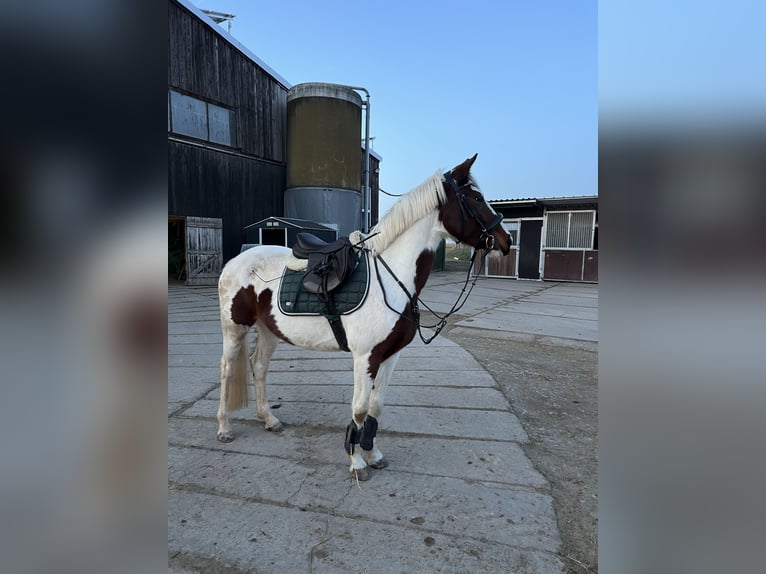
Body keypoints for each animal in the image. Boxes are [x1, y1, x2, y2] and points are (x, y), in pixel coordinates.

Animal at [216, 154, 511, 480]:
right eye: (476, 198)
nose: (506, 240)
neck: (392, 280)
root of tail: (236, 260)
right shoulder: (365, 357)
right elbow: (359, 408)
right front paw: (356, 462)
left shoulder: (390, 356)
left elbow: (376, 407)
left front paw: (373, 454)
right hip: (234, 329)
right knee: (227, 370)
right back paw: (224, 428)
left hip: (269, 331)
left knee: (259, 366)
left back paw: (269, 420)